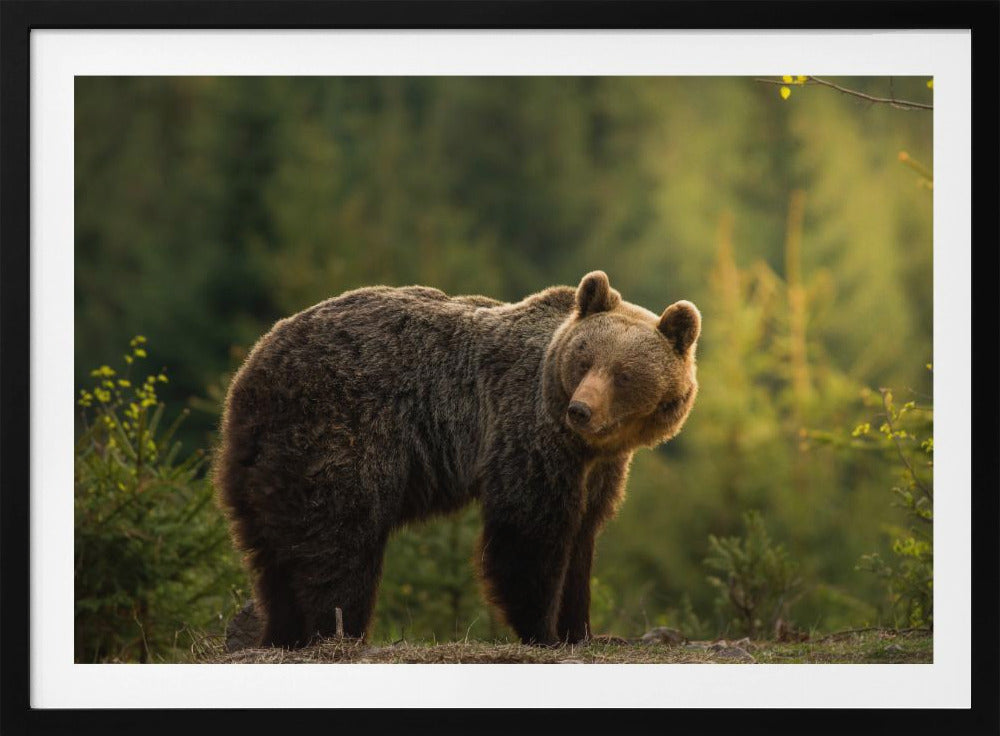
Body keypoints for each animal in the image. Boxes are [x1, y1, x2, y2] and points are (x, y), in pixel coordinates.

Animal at [213, 271, 700, 648]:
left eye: (623, 373)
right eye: (584, 359)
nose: (580, 409)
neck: (587, 445)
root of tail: (252, 368)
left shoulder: (599, 469)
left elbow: (582, 537)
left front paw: (581, 630)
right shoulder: (526, 432)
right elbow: (530, 532)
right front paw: (543, 631)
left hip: (264, 460)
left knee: (272, 553)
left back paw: (281, 632)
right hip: (338, 432)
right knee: (340, 541)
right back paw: (338, 632)